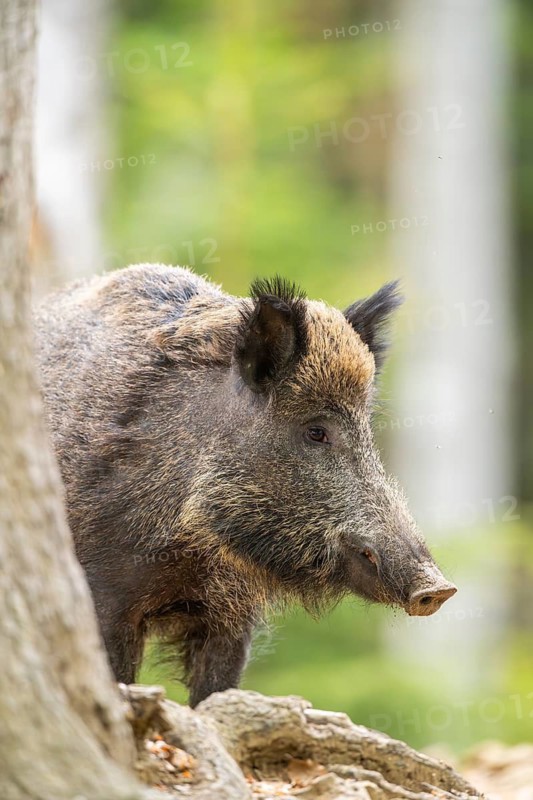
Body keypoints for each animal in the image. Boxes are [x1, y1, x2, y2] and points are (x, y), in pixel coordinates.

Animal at [34, 264, 457, 706]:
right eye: (317, 432)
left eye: (367, 433)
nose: (438, 589)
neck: (193, 543)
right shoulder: (105, 596)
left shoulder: (232, 616)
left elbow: (217, 692)